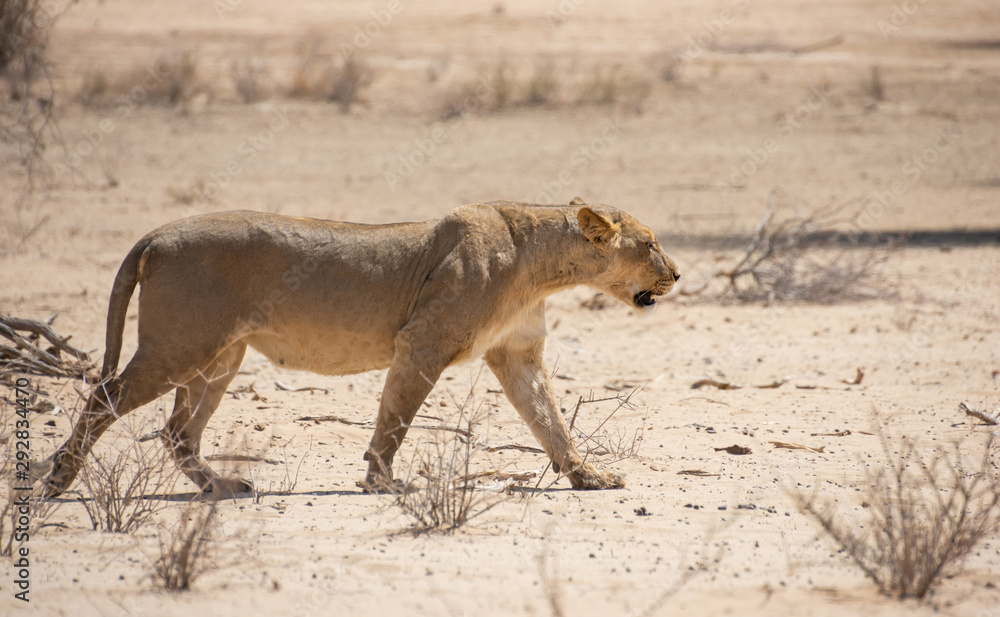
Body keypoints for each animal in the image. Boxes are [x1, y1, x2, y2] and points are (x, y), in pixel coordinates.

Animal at [40, 200, 679, 497]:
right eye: (650, 243)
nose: (677, 273)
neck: (542, 266)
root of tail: (155, 234)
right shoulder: (422, 342)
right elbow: (395, 419)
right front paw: (384, 483)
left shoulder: (516, 355)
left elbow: (550, 422)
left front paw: (588, 477)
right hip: (179, 348)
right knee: (104, 397)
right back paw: (58, 481)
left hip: (221, 358)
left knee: (177, 432)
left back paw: (222, 488)